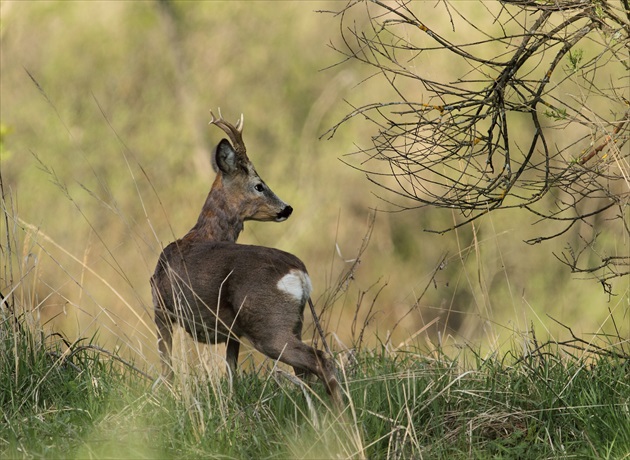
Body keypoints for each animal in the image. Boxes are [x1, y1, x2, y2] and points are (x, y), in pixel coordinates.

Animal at [151, 111, 344, 406]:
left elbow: (167, 366)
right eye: (259, 185)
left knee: (320, 359)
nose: (286, 208)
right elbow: (231, 372)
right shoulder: (232, 331)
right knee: (307, 371)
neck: (201, 234)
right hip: (293, 323)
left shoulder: (161, 308)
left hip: (268, 324)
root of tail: (300, 274)